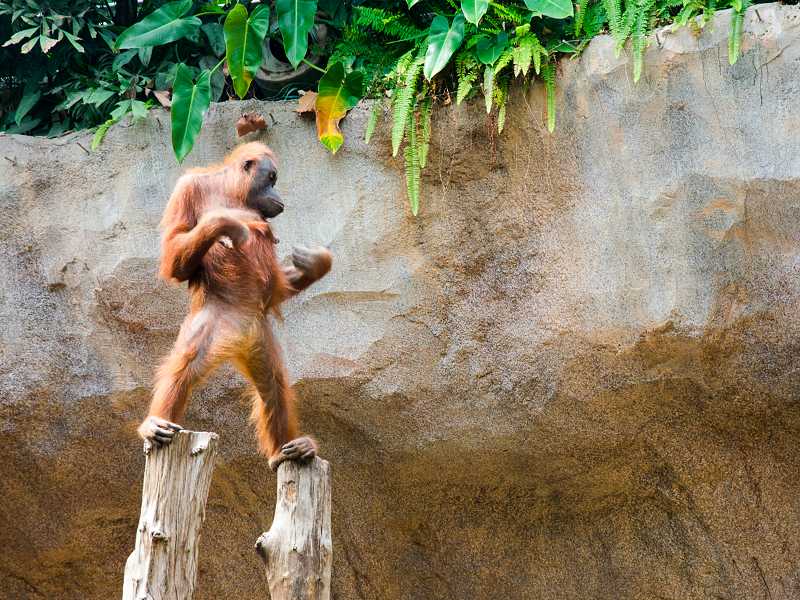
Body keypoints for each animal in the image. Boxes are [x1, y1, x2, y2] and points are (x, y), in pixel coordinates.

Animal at [137, 142, 332, 471]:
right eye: (272, 178)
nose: (279, 194)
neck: (231, 193)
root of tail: (235, 340)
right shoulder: (186, 188)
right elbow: (175, 251)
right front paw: (227, 224)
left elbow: (275, 286)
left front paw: (317, 263)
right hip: (210, 324)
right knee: (184, 364)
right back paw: (155, 424)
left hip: (258, 336)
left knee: (273, 384)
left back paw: (291, 449)